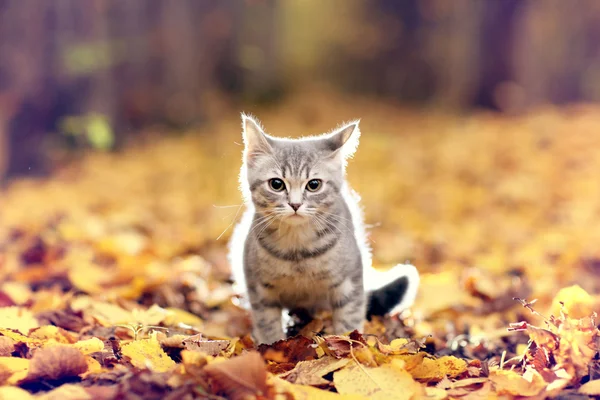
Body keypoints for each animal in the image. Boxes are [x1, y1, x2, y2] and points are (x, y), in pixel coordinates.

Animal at [227, 113, 420, 344]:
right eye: (276, 184)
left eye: (314, 185)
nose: (295, 204)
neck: (297, 250)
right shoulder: (259, 290)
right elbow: (267, 324)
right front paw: (271, 346)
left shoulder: (351, 283)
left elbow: (349, 321)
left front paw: (350, 345)